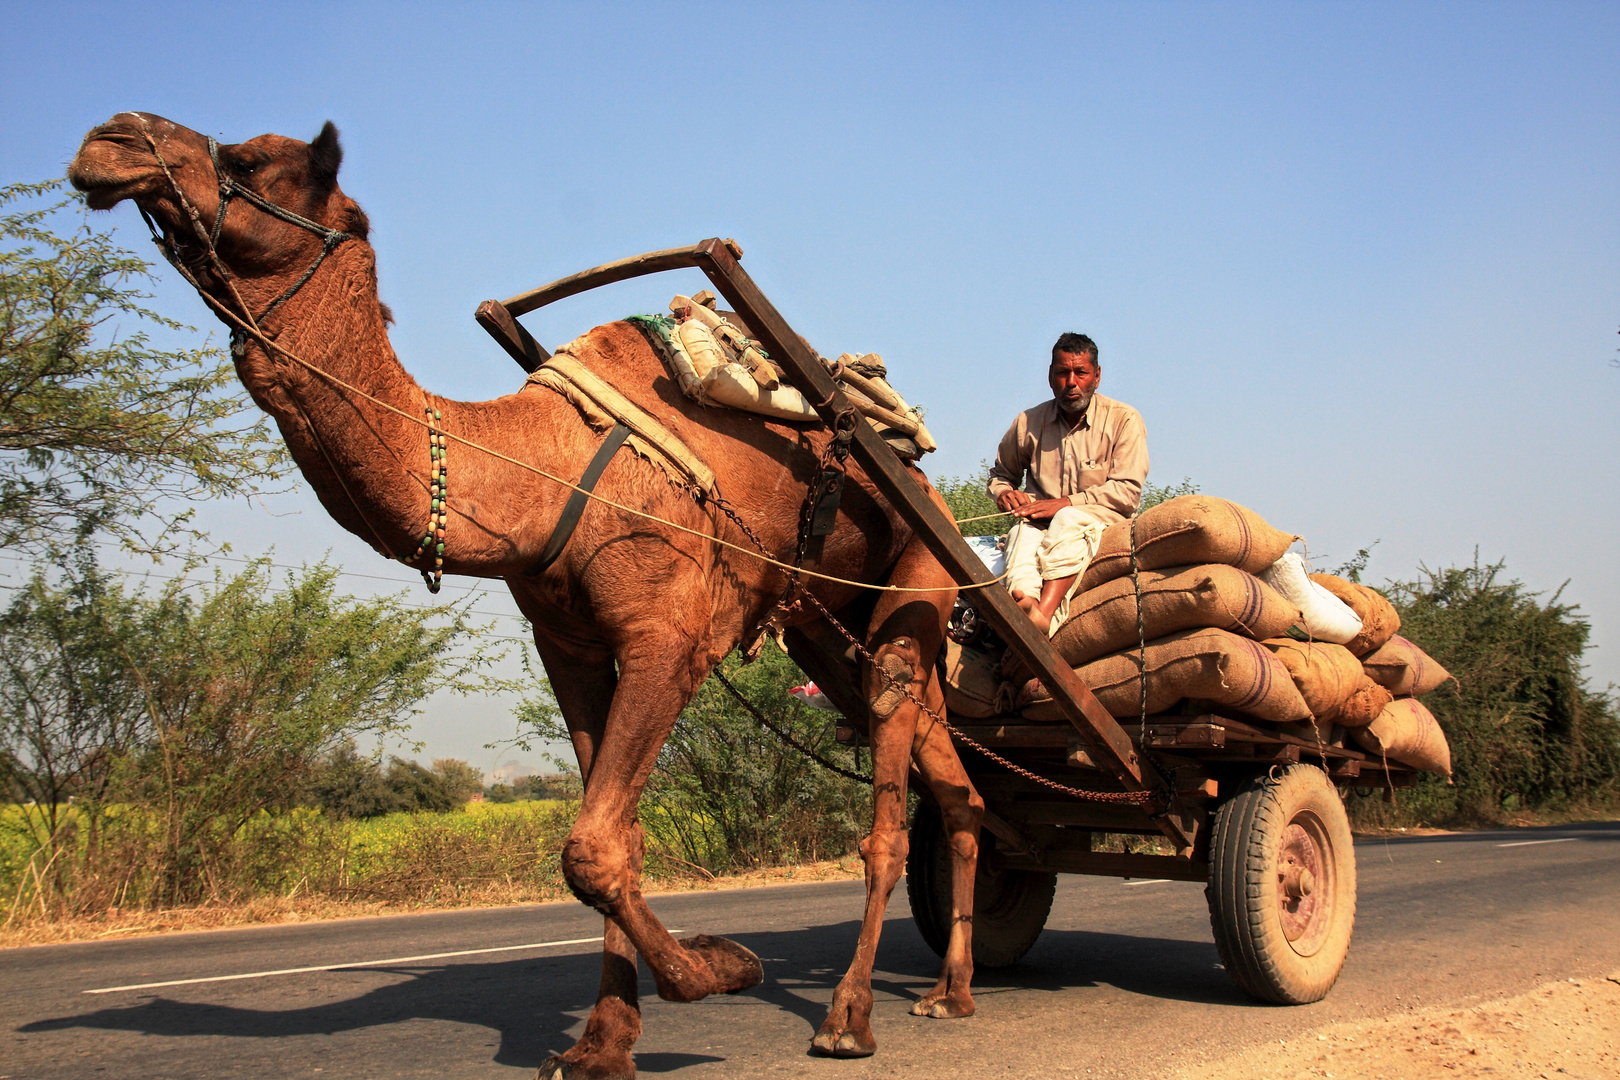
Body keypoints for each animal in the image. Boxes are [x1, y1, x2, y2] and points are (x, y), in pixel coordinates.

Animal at [69, 114, 984, 1075]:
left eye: (249, 161)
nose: (111, 139)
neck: (539, 472)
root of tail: (913, 463)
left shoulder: (671, 633)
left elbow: (591, 846)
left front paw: (720, 968)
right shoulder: (568, 644)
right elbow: (617, 836)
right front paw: (604, 1044)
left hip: (919, 562)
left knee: (890, 780)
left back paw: (849, 1014)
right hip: (822, 615)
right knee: (954, 782)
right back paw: (951, 990)